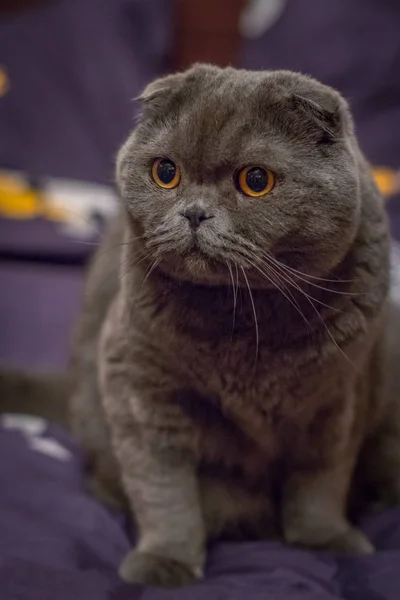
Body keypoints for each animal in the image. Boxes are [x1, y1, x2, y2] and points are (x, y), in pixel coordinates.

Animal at [69, 64, 396, 584]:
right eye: (166, 173)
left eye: (256, 180)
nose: (194, 212)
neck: (247, 322)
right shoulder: (139, 383)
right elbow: (164, 489)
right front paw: (166, 561)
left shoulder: (339, 396)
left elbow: (321, 481)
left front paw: (327, 540)